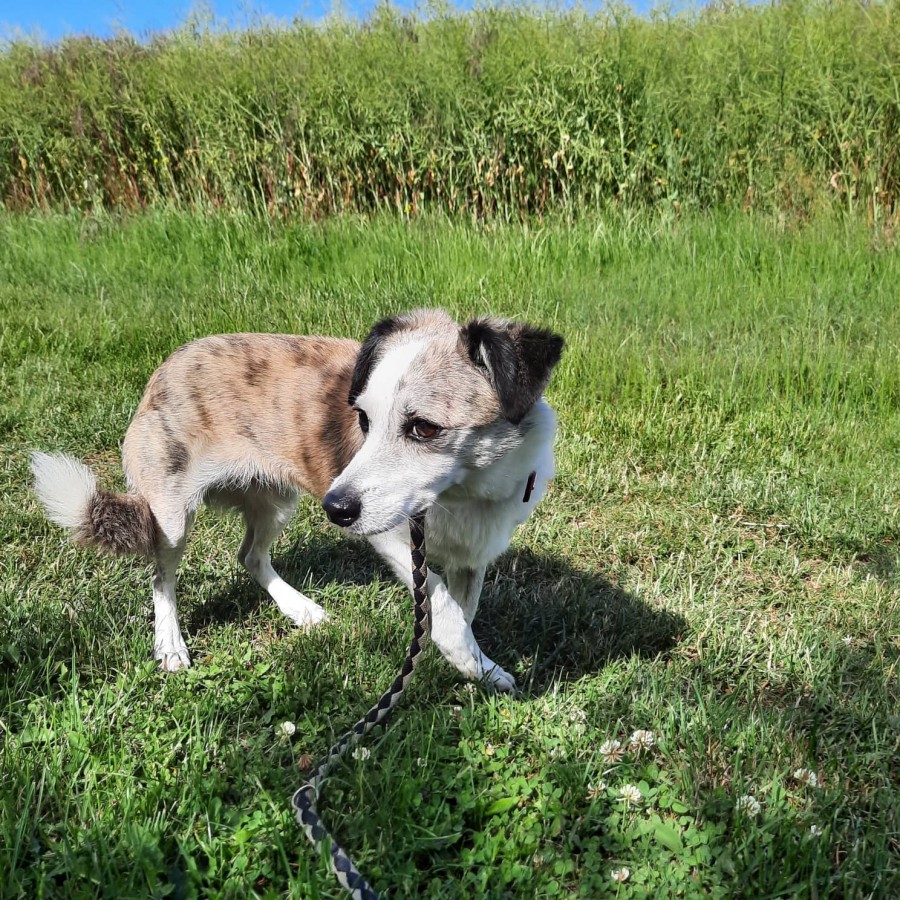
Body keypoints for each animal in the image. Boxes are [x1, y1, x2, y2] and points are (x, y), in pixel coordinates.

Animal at [31, 309, 563, 692]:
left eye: (424, 428)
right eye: (363, 420)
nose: (335, 509)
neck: (466, 491)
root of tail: (166, 366)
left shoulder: (473, 558)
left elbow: (460, 610)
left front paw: (471, 666)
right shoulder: (394, 537)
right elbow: (445, 607)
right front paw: (467, 659)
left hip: (275, 504)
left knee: (249, 555)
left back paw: (299, 609)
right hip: (172, 513)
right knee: (162, 575)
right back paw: (170, 643)